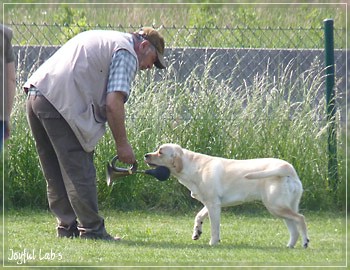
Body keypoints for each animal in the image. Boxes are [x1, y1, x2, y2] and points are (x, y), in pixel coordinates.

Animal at [144, 144, 308, 248]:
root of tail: (288, 168)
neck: (192, 167)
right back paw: (290, 246)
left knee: (300, 218)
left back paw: (305, 242)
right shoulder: (211, 203)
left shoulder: (213, 205)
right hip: (281, 208)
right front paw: (197, 232)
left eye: (160, 152)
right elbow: (198, 216)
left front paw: (213, 242)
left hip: (275, 206)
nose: (145, 155)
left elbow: (215, 227)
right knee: (294, 229)